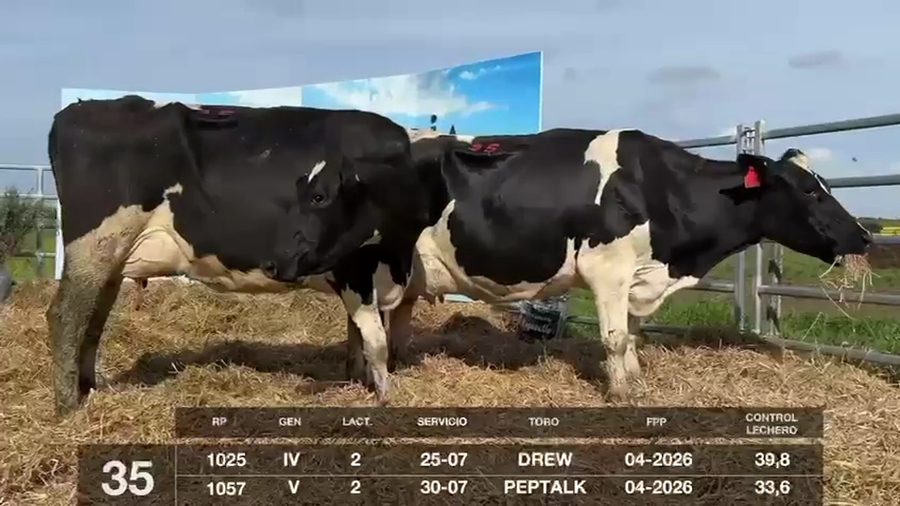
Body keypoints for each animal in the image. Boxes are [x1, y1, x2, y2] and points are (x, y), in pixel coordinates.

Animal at [45, 96, 432, 417]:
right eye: (318, 196)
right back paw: (68, 406)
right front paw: (379, 394)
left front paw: (358, 382)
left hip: (110, 257)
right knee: (65, 316)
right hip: (95, 244)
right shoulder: (355, 264)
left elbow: (358, 333)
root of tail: (76, 110)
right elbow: (372, 336)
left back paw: (89, 390)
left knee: (92, 321)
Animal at [264, 127, 874, 401]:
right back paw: (382, 391)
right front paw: (622, 395)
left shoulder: (638, 277)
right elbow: (613, 338)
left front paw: (636, 382)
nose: (865, 235)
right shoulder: (608, 269)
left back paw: (366, 376)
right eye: (809, 191)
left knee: (371, 327)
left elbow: (632, 335)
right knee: (369, 330)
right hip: (362, 265)